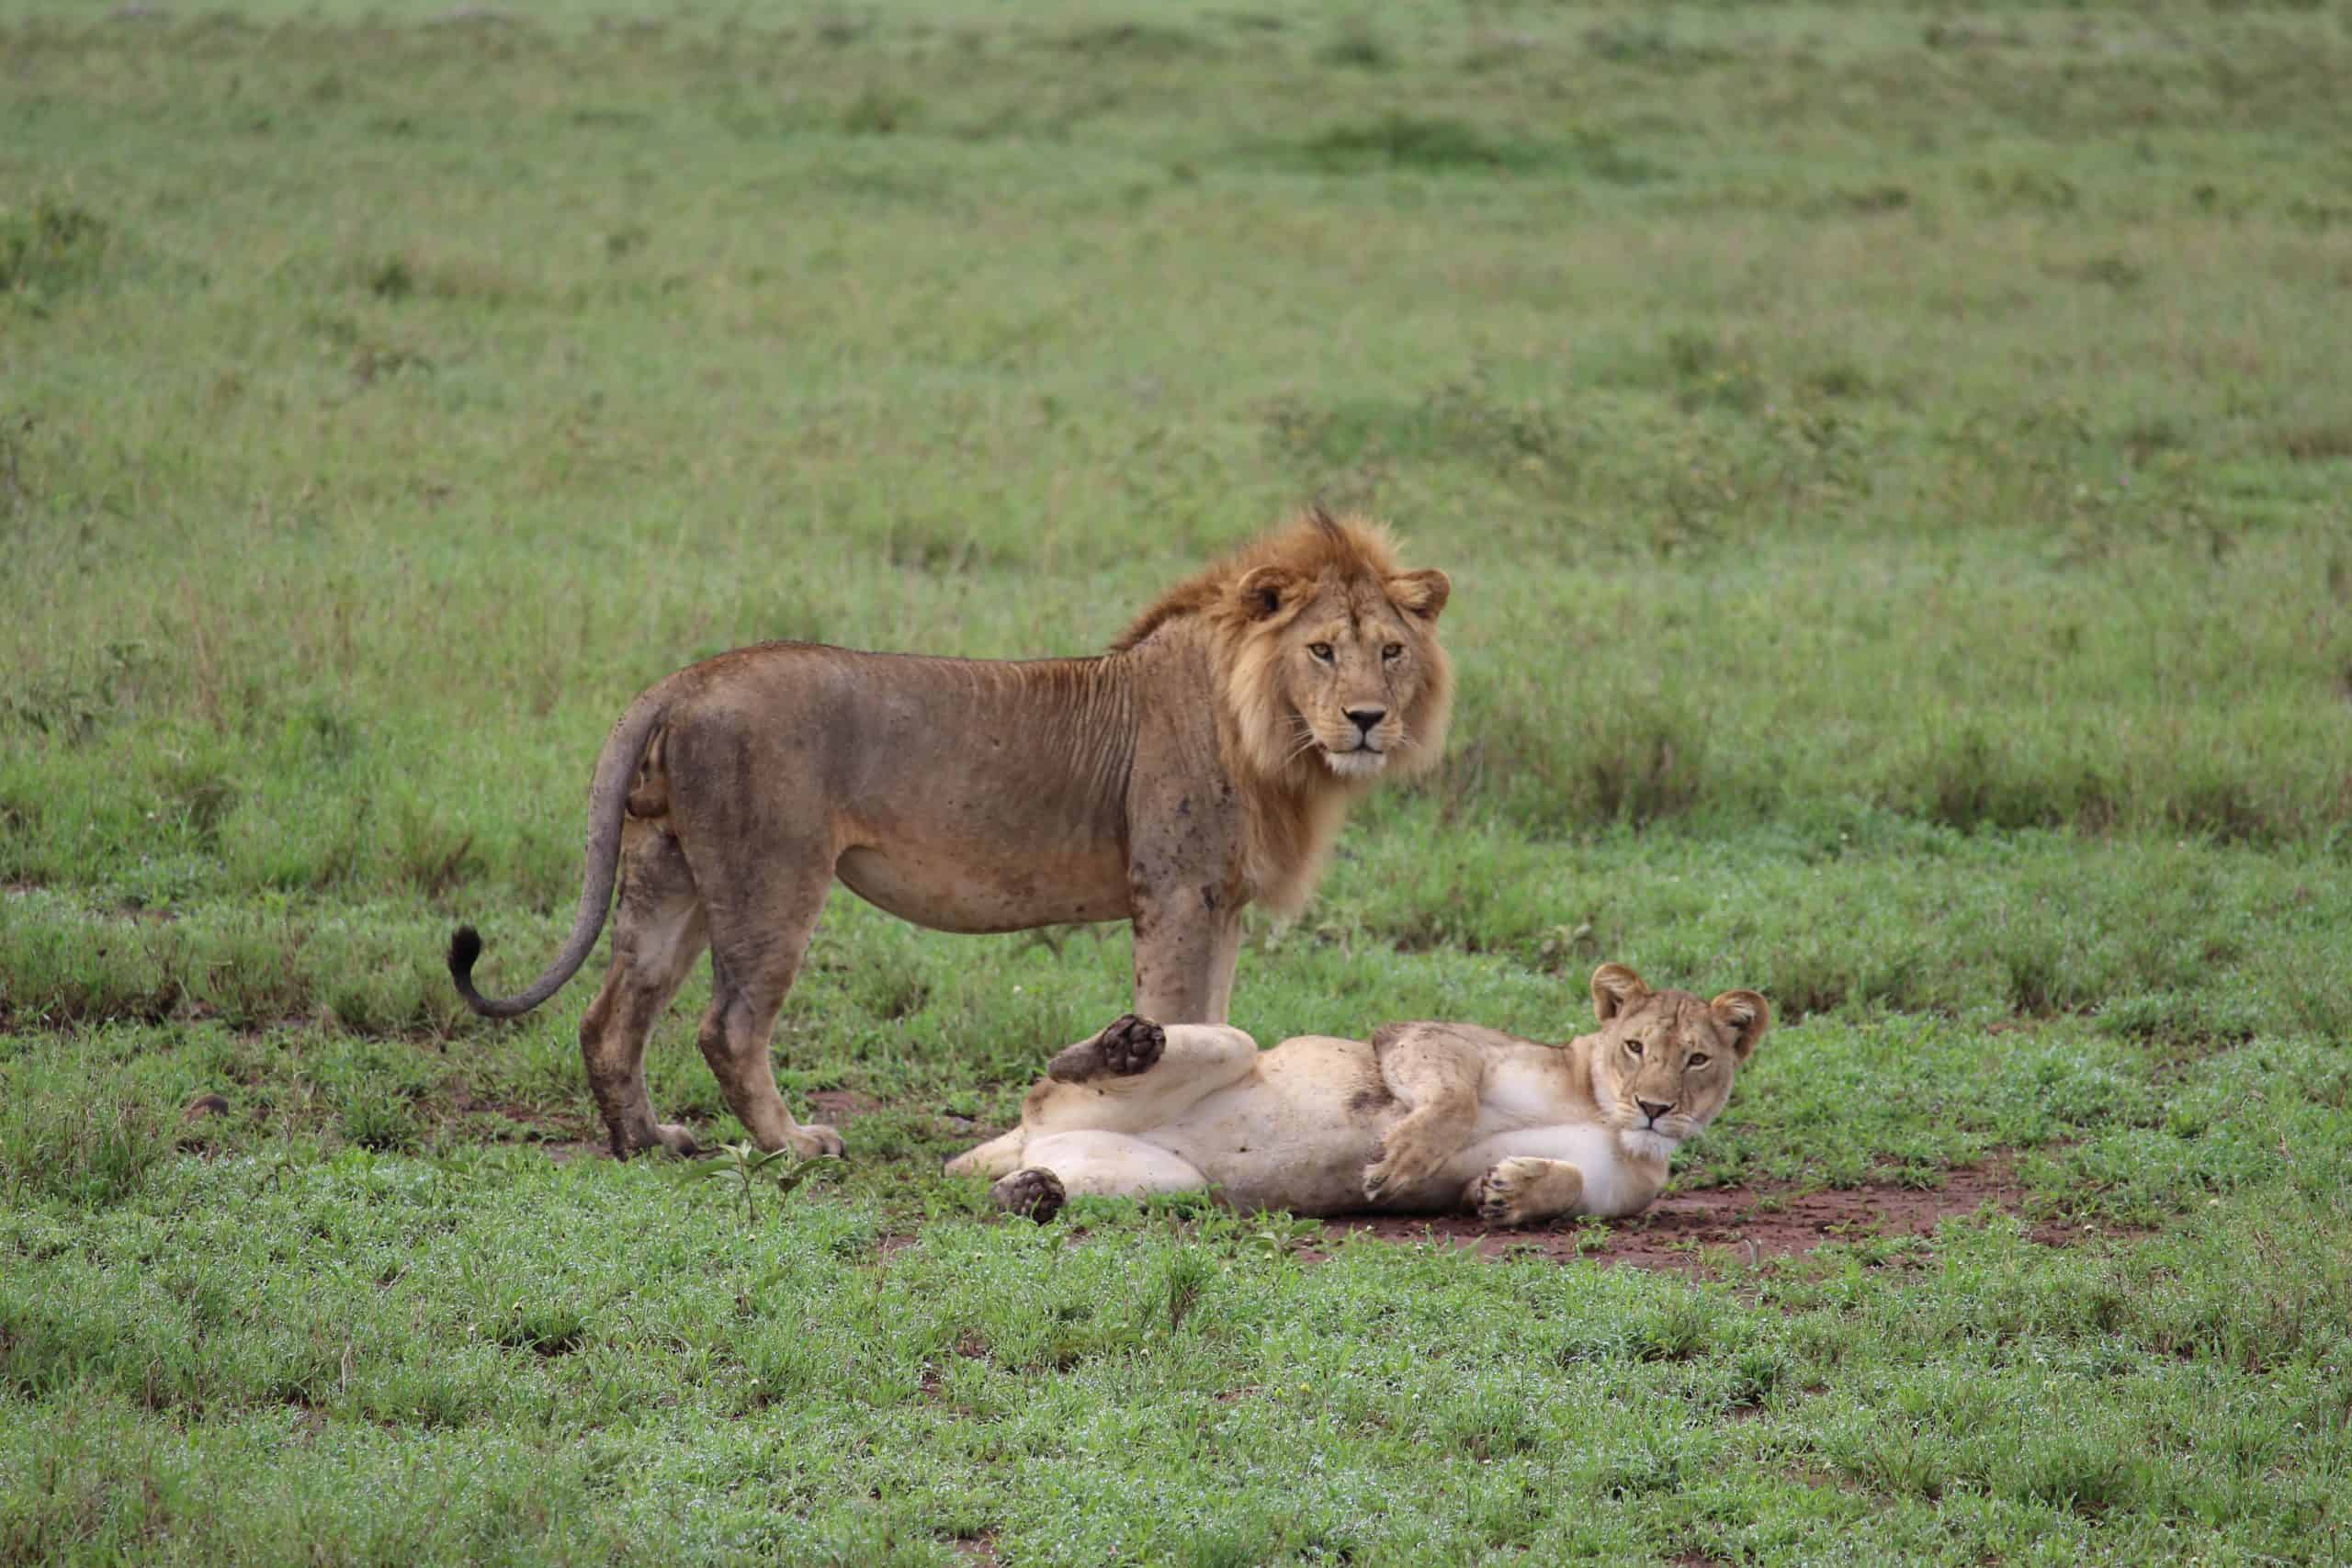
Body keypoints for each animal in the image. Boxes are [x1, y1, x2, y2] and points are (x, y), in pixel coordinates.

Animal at [448, 508, 1453, 1161]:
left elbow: (1210, 1013)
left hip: (674, 874)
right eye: (1320, 650)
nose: (1366, 719)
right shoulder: (1175, 889)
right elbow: (1177, 1011)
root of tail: (684, 680)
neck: (1271, 736)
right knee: (727, 1026)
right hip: (771, 877)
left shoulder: (1219, 900)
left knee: (612, 1016)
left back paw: (646, 1140)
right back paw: (794, 1143)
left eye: (1390, 650)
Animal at [945, 963, 1768, 1226]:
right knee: (1060, 1064)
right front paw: (1401, 1156)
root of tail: (1025, 1137)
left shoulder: (1609, 1193)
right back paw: (1123, 1045)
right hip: (1232, 1041)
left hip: (1172, 1182)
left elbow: (1562, 1184)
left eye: (1697, 1059)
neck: (1602, 1111)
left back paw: (1029, 1193)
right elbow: (1453, 1100)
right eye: (1635, 1048)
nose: (1655, 1107)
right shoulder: (1427, 1035)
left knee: (1023, 1187)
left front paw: (1508, 1188)